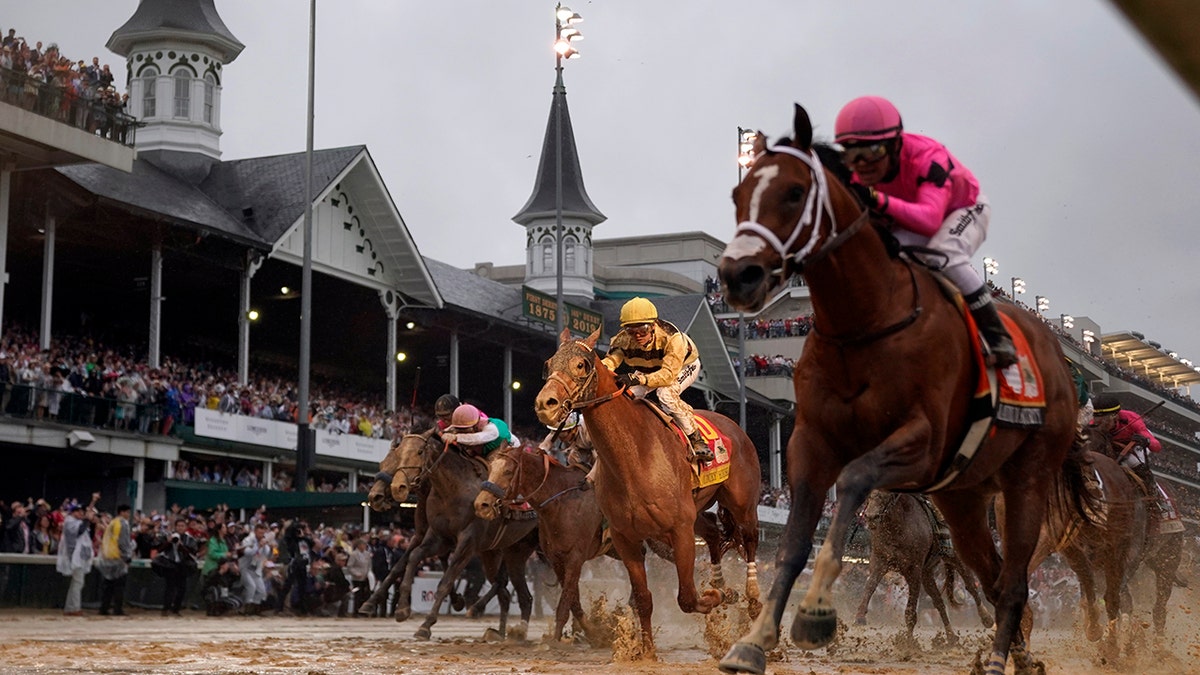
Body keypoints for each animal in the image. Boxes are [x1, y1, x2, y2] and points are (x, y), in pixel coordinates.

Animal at [384, 427, 540, 638]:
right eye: (399, 453)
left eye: (419, 452)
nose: (397, 487)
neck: (452, 490)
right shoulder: (439, 537)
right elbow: (414, 557)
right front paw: (402, 609)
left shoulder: (467, 542)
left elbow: (446, 581)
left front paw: (426, 625)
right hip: (506, 551)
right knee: (514, 594)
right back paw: (501, 631)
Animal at [535, 326, 758, 658]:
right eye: (548, 364)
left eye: (581, 365)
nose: (545, 404)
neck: (635, 456)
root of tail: (735, 426)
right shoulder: (626, 538)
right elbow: (643, 598)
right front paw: (647, 651)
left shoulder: (679, 530)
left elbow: (687, 597)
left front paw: (718, 596)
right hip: (696, 512)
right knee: (714, 535)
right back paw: (721, 584)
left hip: (742, 505)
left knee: (750, 541)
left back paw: (753, 600)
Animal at [854, 487, 993, 638]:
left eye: (888, 495)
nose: (870, 517)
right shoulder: (880, 561)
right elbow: (870, 585)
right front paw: (860, 617)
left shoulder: (914, 570)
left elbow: (910, 611)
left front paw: (908, 641)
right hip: (927, 573)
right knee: (939, 601)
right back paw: (951, 637)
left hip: (956, 559)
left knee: (971, 586)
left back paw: (987, 618)